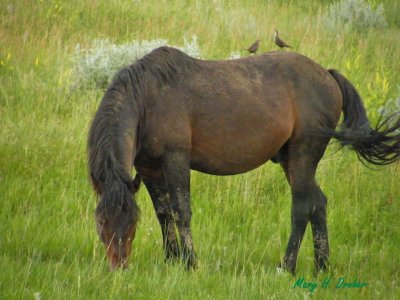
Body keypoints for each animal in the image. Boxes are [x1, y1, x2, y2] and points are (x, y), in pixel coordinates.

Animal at [87, 46, 400, 272]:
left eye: (131, 223)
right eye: (101, 222)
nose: (118, 268)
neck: (148, 99)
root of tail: (327, 74)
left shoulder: (175, 159)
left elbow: (181, 212)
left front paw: (190, 264)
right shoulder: (149, 168)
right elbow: (164, 214)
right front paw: (171, 259)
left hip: (304, 153)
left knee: (301, 208)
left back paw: (286, 267)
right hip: (290, 159)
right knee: (318, 204)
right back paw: (322, 266)